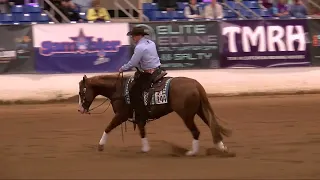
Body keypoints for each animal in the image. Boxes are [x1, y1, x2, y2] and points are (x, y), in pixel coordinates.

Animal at [77, 70, 232, 156]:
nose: (80, 110)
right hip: (200, 110)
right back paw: (222, 148)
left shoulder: (121, 115)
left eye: (82, 92)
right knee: (212, 125)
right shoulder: (139, 116)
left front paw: (100, 146)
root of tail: (195, 84)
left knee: (196, 131)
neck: (119, 89)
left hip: (186, 115)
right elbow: (142, 131)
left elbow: (108, 127)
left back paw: (191, 152)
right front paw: (145, 148)